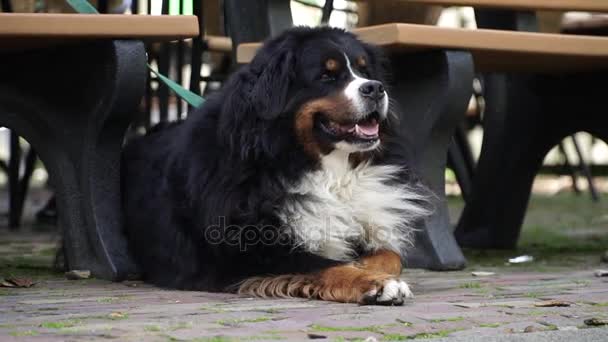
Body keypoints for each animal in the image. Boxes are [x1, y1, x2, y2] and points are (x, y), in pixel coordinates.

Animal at [121, 26, 430, 304]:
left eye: (366, 72)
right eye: (326, 75)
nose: (375, 88)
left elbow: (389, 255)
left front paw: (368, 266)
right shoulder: (247, 251)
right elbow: (322, 265)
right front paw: (374, 283)